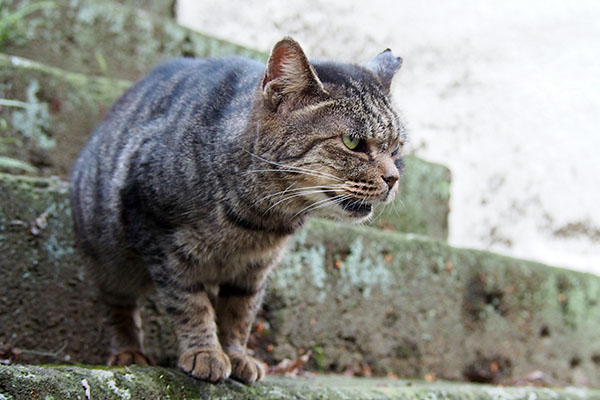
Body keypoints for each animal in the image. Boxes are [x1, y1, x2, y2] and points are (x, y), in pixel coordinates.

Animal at [69, 38, 408, 384]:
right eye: (353, 142)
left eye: (396, 149)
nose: (393, 178)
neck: (257, 221)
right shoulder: (161, 239)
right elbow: (190, 303)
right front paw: (205, 352)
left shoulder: (255, 270)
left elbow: (239, 313)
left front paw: (236, 354)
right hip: (111, 258)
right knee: (118, 304)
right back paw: (128, 351)